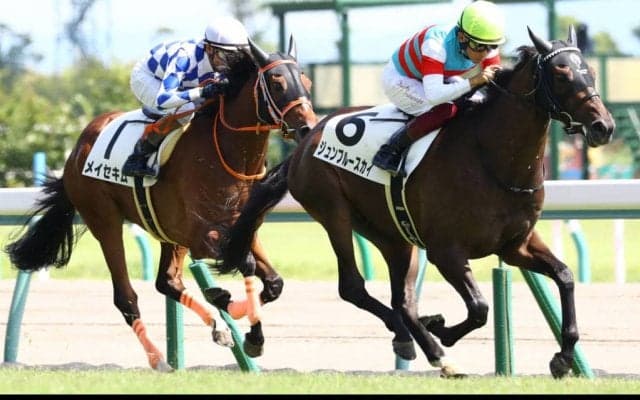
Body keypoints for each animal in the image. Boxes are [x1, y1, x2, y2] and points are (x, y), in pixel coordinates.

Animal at [4, 37, 317, 371]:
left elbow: (273, 282)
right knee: (126, 297)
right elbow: (242, 267)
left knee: (167, 282)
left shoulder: (243, 229)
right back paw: (158, 359)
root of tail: (78, 147)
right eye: (277, 83)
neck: (228, 154)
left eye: (307, 82)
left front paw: (246, 327)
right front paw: (237, 313)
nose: (307, 128)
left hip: (168, 232)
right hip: (104, 219)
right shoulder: (202, 235)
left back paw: (217, 328)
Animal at [217, 26, 616, 378]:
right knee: (354, 286)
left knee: (403, 300)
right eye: (562, 73)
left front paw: (563, 357)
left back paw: (417, 341)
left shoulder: (516, 245)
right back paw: (433, 348)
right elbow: (479, 308)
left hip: (392, 235)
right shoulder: (446, 251)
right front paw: (443, 330)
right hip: (334, 213)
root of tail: (305, 140)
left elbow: (565, 276)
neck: (490, 157)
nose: (604, 126)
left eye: (591, 72)